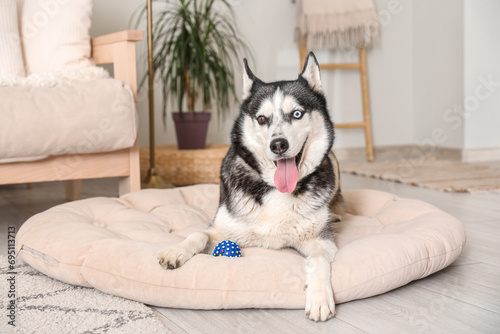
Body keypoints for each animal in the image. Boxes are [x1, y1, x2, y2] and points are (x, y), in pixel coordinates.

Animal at [159, 52, 344, 324]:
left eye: (297, 114)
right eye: (262, 119)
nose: (278, 145)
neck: (275, 188)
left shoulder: (321, 240)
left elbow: (319, 259)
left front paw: (320, 297)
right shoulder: (224, 229)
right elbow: (198, 234)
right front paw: (176, 251)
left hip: (334, 162)